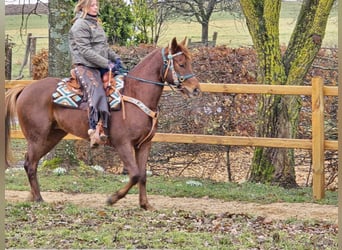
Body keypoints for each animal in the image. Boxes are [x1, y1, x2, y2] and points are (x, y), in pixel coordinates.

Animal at [4, 36, 200, 209]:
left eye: (190, 62)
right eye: (181, 63)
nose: (196, 89)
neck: (135, 93)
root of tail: (25, 89)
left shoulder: (144, 145)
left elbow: (143, 175)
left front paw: (145, 204)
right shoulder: (123, 144)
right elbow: (135, 174)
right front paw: (113, 198)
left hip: (52, 136)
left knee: (33, 162)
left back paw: (33, 196)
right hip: (37, 137)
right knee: (29, 163)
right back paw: (38, 198)